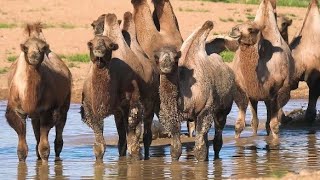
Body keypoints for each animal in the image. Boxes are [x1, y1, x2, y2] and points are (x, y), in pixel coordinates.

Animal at [5, 22, 72, 162]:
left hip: (65, 103)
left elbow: (44, 148)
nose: (34, 56)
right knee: (37, 135)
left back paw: (57, 158)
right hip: (36, 115)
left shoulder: (48, 110)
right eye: (25, 48)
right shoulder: (17, 110)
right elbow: (21, 149)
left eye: (42, 48)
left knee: (59, 134)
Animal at [81, 13, 159, 161]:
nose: (99, 51)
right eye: (90, 44)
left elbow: (134, 145)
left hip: (150, 99)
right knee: (122, 138)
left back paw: (146, 157)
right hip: (118, 111)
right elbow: (99, 146)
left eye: (110, 45)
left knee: (146, 134)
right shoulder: (91, 109)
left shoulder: (133, 103)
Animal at [155, 20, 242, 160]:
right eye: (156, 58)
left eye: (175, 58)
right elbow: (175, 148)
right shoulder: (170, 115)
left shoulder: (206, 108)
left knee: (218, 135)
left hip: (224, 108)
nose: (166, 67)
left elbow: (200, 149)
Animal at [230, 0, 296, 139]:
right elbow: (239, 126)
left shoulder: (280, 89)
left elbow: (274, 125)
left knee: (268, 118)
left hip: (269, 96)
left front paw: (275, 141)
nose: (234, 29)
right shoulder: (242, 89)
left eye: (251, 29)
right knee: (255, 121)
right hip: (256, 97)